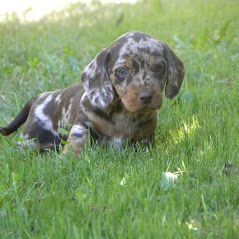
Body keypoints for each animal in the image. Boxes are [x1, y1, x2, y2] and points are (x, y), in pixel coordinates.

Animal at [0, 31, 185, 153]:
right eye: (122, 71)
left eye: (159, 67)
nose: (146, 97)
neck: (123, 112)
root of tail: (39, 97)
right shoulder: (83, 123)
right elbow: (77, 143)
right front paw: (68, 159)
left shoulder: (146, 135)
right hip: (31, 139)